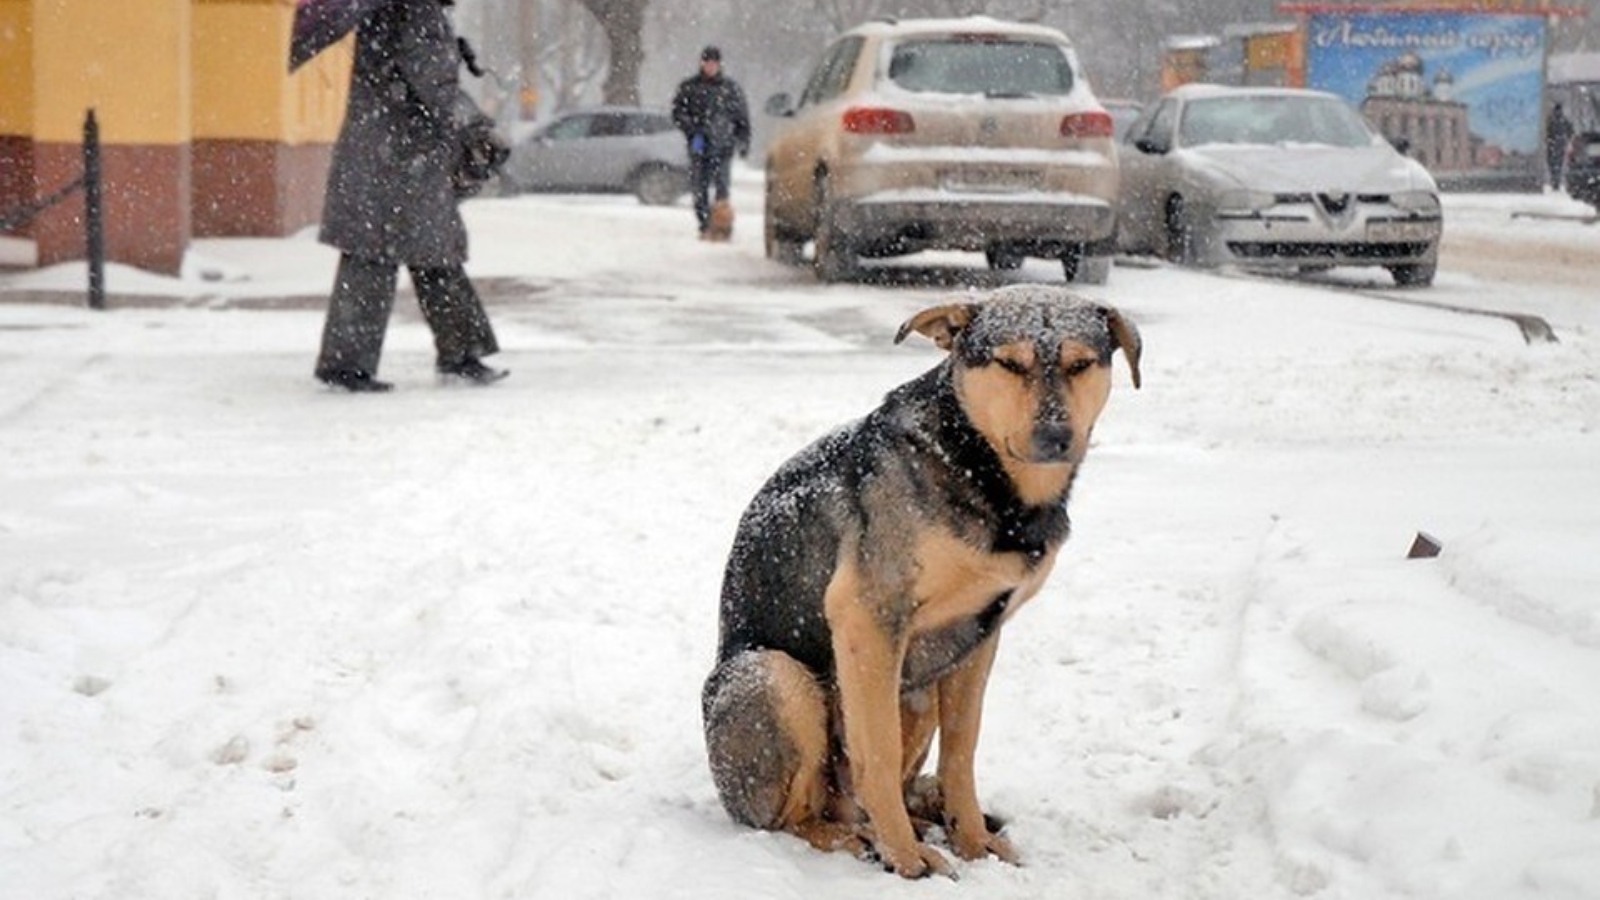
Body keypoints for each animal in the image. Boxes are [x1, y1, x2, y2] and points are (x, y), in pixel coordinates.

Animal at [700, 283, 1139, 871]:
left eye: (1080, 364)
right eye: (1009, 363)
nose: (1055, 436)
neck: (983, 471)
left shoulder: (979, 633)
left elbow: (961, 751)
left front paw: (971, 842)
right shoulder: (868, 615)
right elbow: (878, 754)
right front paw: (906, 861)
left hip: (919, 688)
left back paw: (921, 820)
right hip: (774, 676)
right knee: (793, 818)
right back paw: (859, 838)